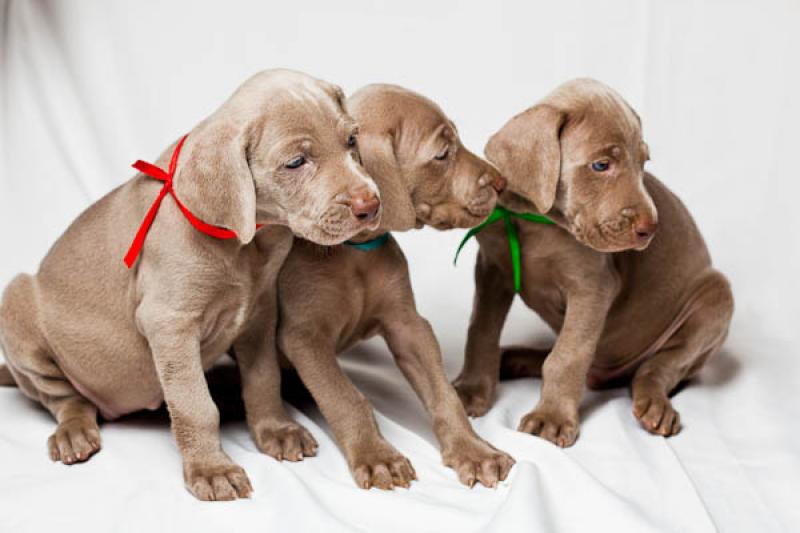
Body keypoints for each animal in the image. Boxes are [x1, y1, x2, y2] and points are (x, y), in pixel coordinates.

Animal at [0, 67, 382, 498]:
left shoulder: (259, 312)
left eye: (352, 140)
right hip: (15, 304)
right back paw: (73, 432)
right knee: (65, 399)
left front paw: (276, 430)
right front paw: (211, 469)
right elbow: (196, 405)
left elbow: (263, 378)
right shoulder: (170, 323)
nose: (371, 205)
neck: (249, 241)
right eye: (296, 162)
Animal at [272, 85, 512, 488]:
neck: (354, 252)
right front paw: (377, 456)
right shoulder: (304, 337)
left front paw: (475, 451)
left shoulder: (408, 324)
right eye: (442, 154)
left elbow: (443, 394)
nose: (501, 183)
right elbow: (345, 397)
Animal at [454, 78, 736, 444]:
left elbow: (568, 355)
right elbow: (481, 330)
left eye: (643, 163)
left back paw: (656, 405)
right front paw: (472, 390)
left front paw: (551, 416)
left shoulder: (592, 287)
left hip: (715, 296)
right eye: (601, 165)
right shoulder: (492, 269)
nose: (651, 229)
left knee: (659, 367)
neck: (537, 223)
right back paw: (514, 358)